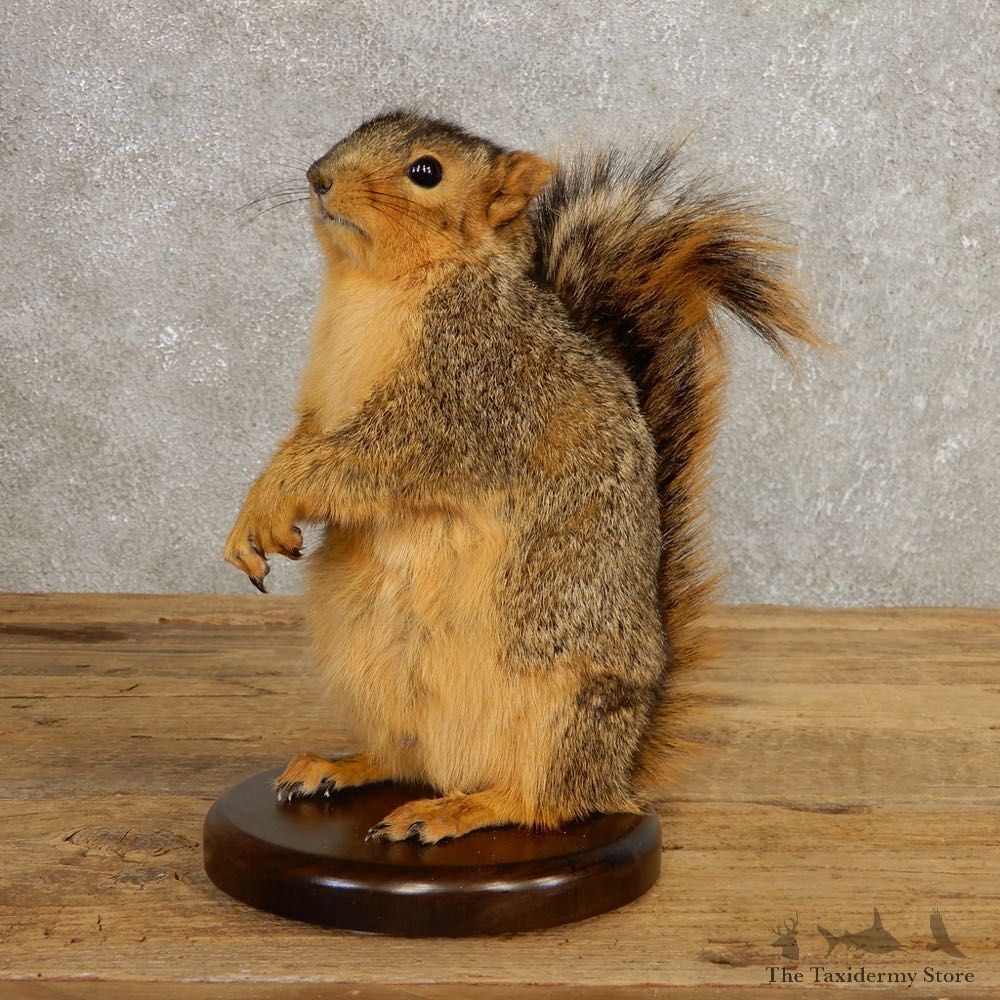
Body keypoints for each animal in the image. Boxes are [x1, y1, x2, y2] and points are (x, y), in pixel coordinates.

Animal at [223, 111, 818, 844]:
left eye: (426, 172)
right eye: (358, 127)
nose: (318, 177)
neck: (376, 288)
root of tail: (620, 770)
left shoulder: (463, 404)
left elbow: (365, 461)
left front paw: (275, 498)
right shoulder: (320, 407)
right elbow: (303, 442)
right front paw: (253, 511)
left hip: (558, 708)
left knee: (546, 802)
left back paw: (458, 809)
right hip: (374, 676)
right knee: (405, 758)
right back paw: (343, 766)